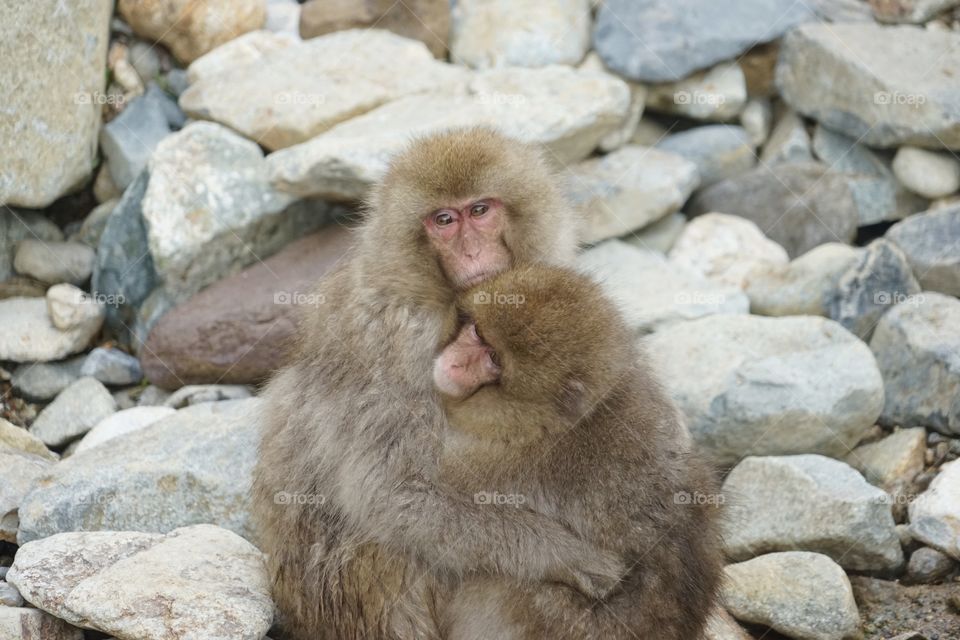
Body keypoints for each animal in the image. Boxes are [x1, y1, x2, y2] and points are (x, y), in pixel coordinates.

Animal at [251, 127, 626, 640]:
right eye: (444, 220)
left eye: (480, 210)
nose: (471, 252)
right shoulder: (401, 340)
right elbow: (392, 495)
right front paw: (571, 558)